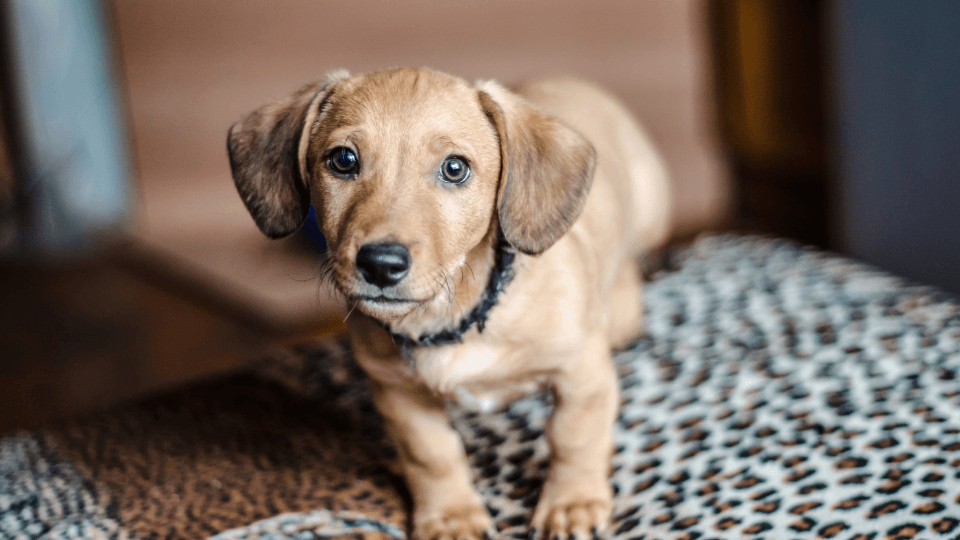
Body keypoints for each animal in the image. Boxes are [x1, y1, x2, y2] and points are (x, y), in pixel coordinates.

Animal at [229, 68, 672, 540]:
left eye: (455, 168)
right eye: (343, 160)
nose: (380, 264)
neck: (454, 318)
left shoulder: (581, 374)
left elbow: (574, 440)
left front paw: (573, 504)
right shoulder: (399, 394)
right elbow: (432, 455)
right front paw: (451, 516)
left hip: (650, 216)